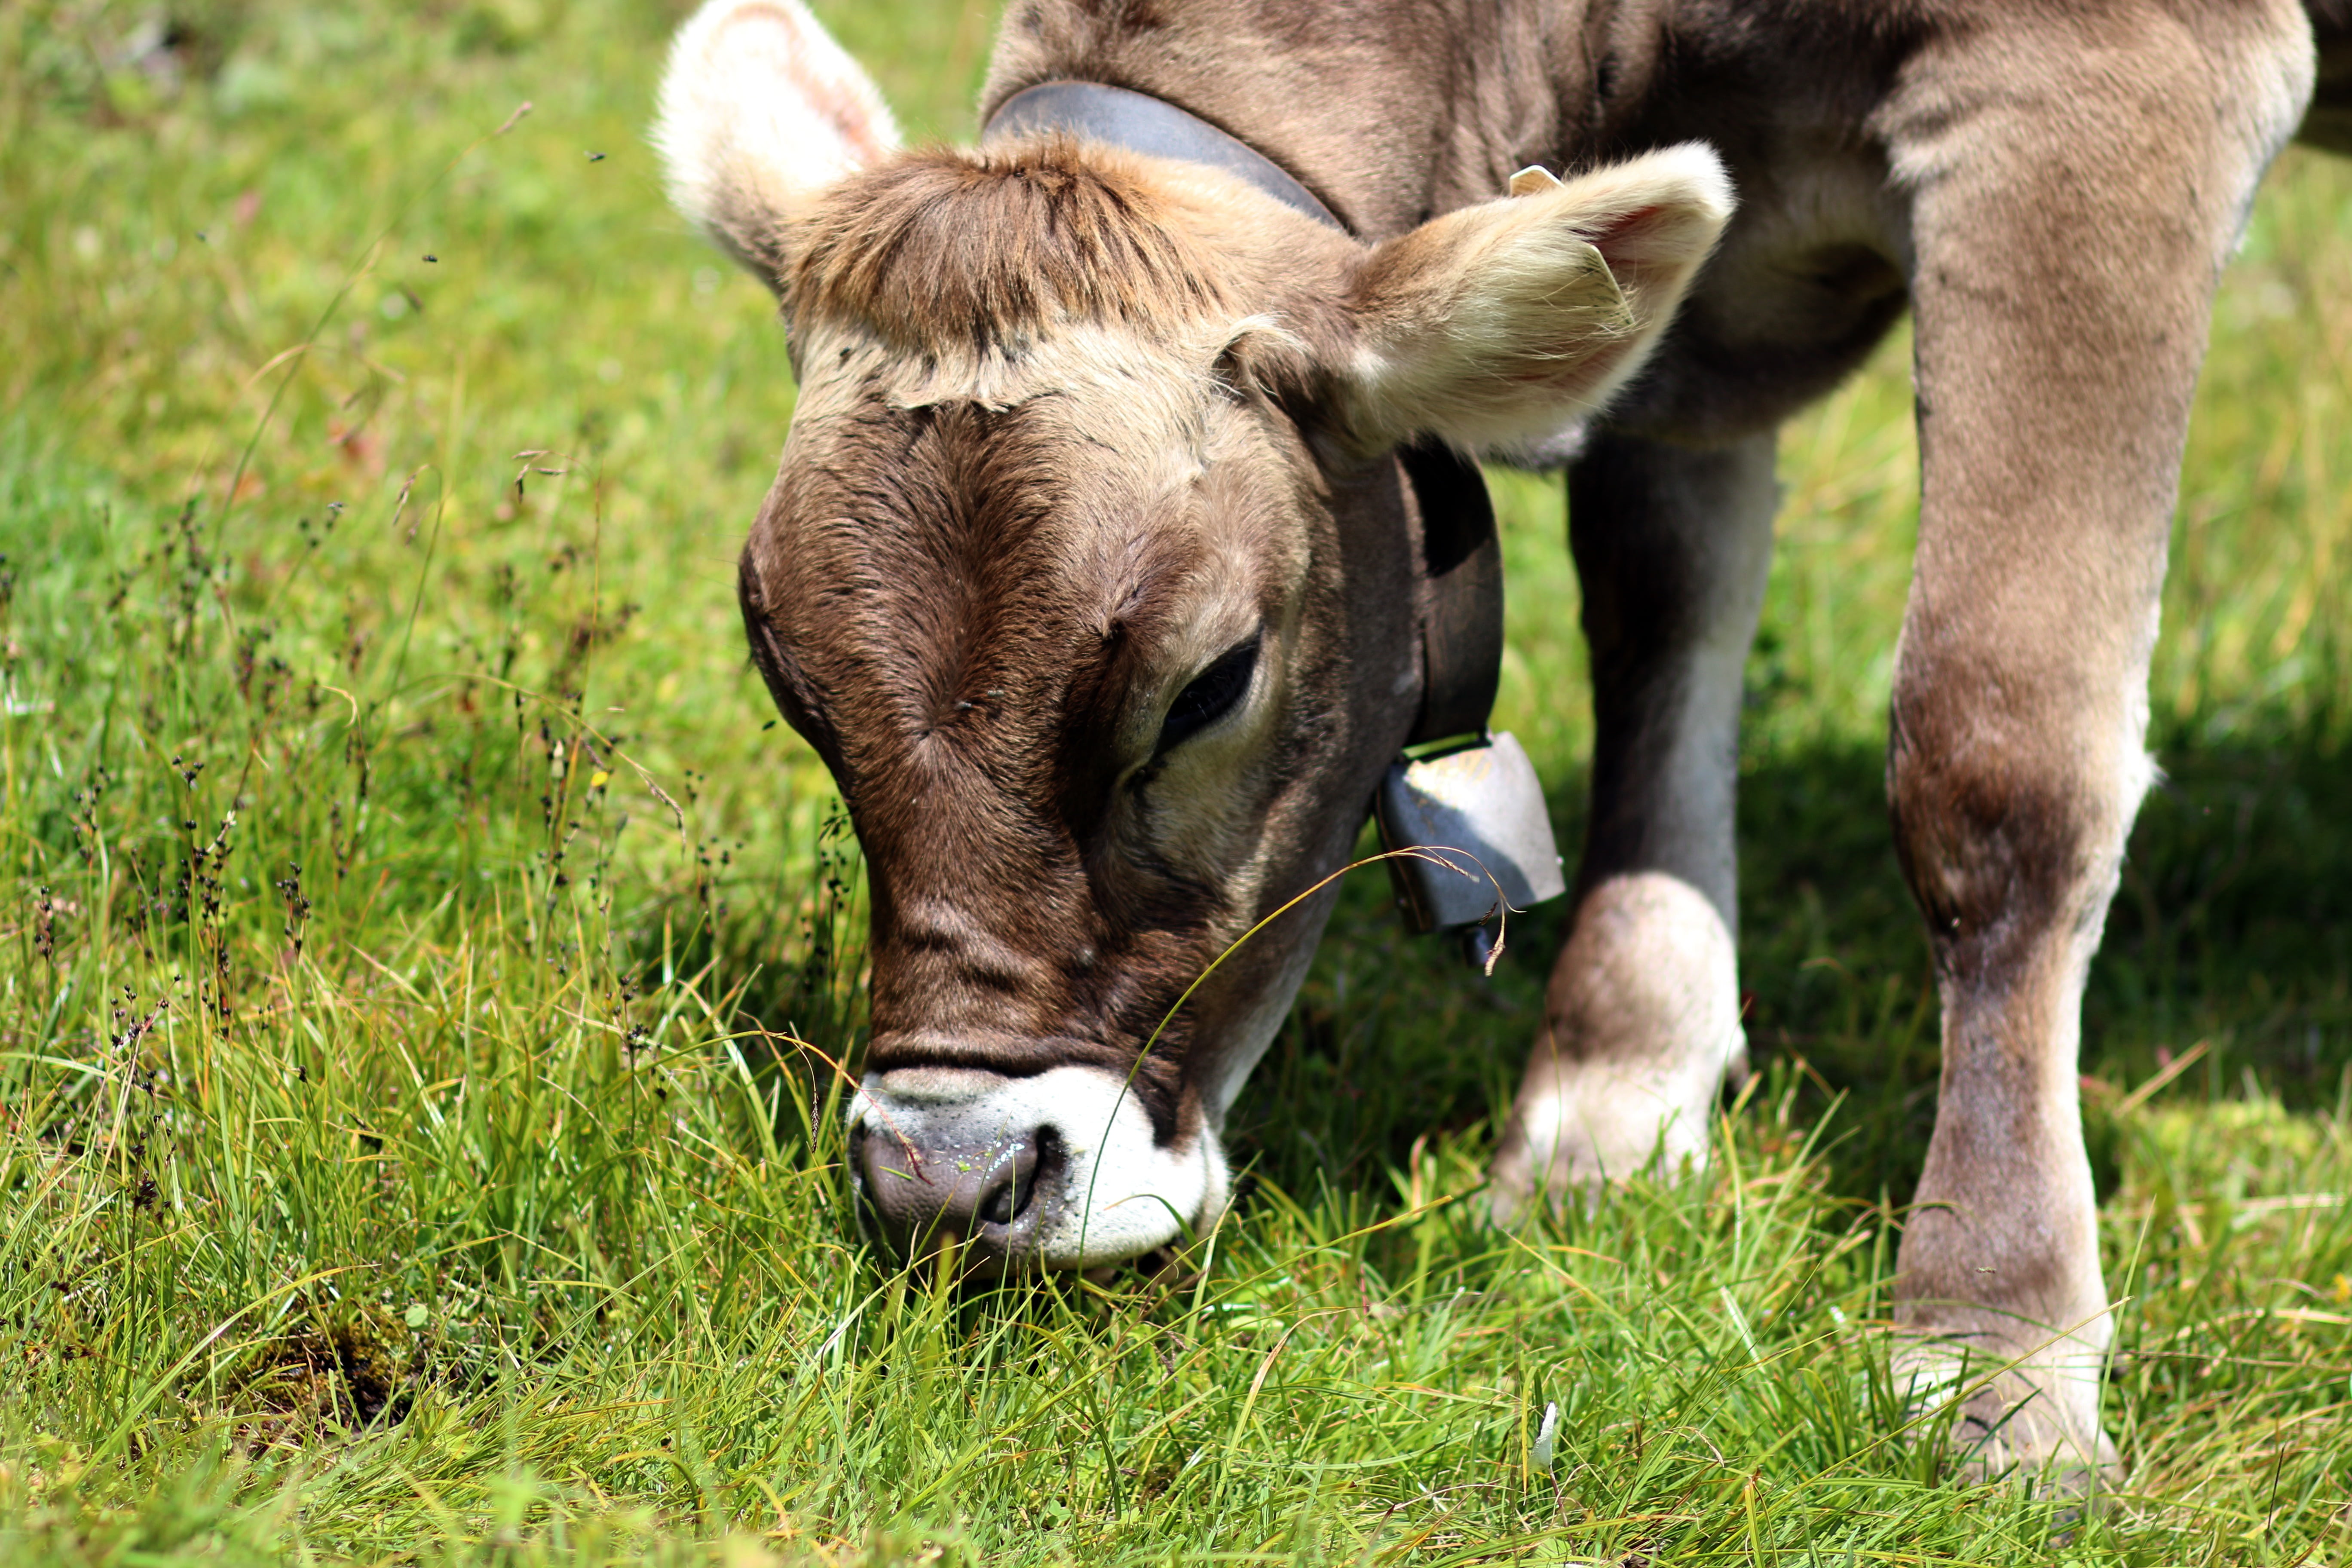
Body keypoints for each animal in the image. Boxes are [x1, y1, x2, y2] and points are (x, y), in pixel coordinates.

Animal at [654, 0, 2349, 1483]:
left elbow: (1995, 750)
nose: (945, 1177)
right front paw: (1611, 1101)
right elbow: (1661, 614)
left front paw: (1997, 1346)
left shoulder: (2098, 97)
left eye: (1209, 683)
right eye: (790, 680)